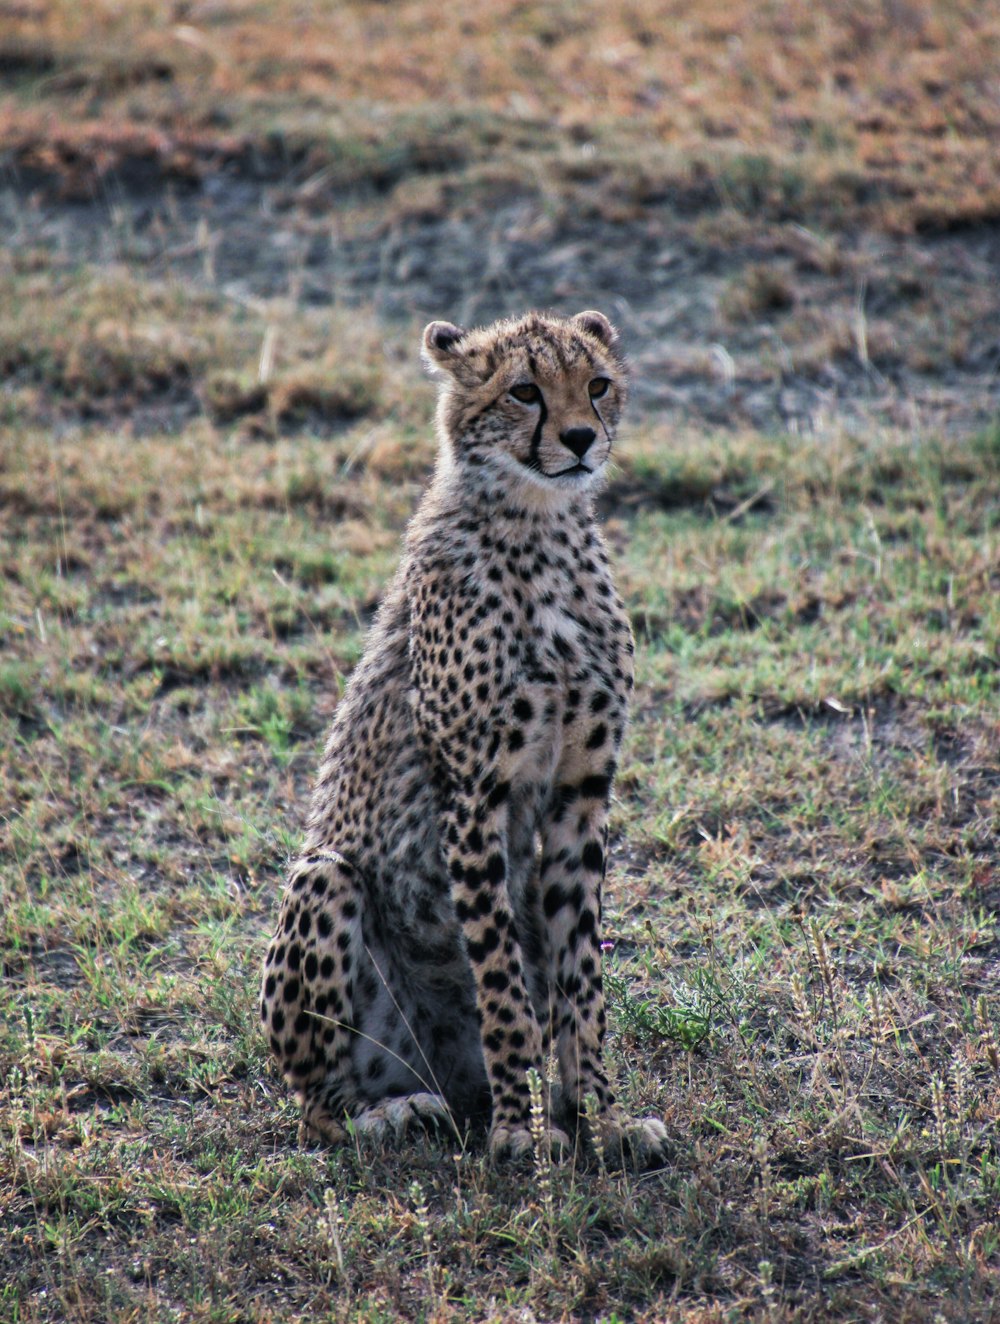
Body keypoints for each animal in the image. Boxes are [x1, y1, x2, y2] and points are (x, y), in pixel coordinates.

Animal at [258, 309, 667, 1170]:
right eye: (524, 391)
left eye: (597, 383)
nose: (581, 437)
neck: (538, 527)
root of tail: (445, 1077)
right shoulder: (475, 793)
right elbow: (502, 981)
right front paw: (518, 1132)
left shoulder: (581, 794)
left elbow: (581, 978)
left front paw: (601, 1119)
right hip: (326, 877)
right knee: (316, 1108)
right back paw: (391, 1115)